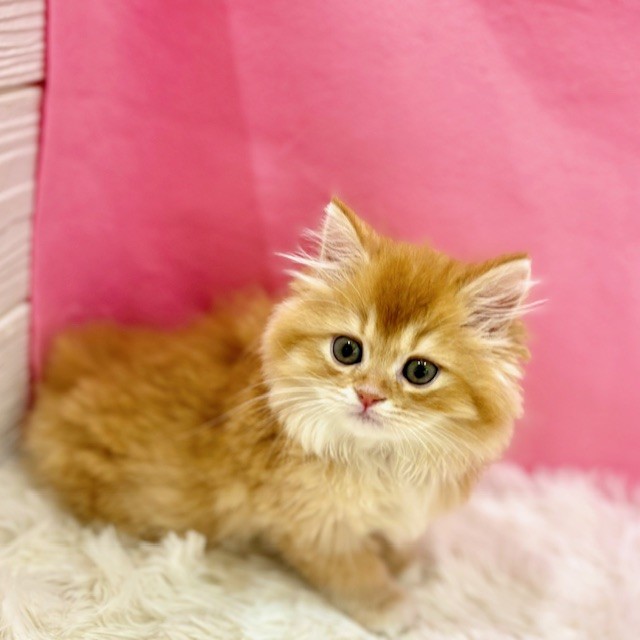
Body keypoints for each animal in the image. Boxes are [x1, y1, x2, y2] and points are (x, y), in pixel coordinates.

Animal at [24, 199, 534, 635]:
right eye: (347, 350)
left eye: (419, 371)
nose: (368, 396)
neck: (377, 460)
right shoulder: (311, 525)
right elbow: (353, 569)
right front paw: (388, 602)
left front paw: (407, 559)